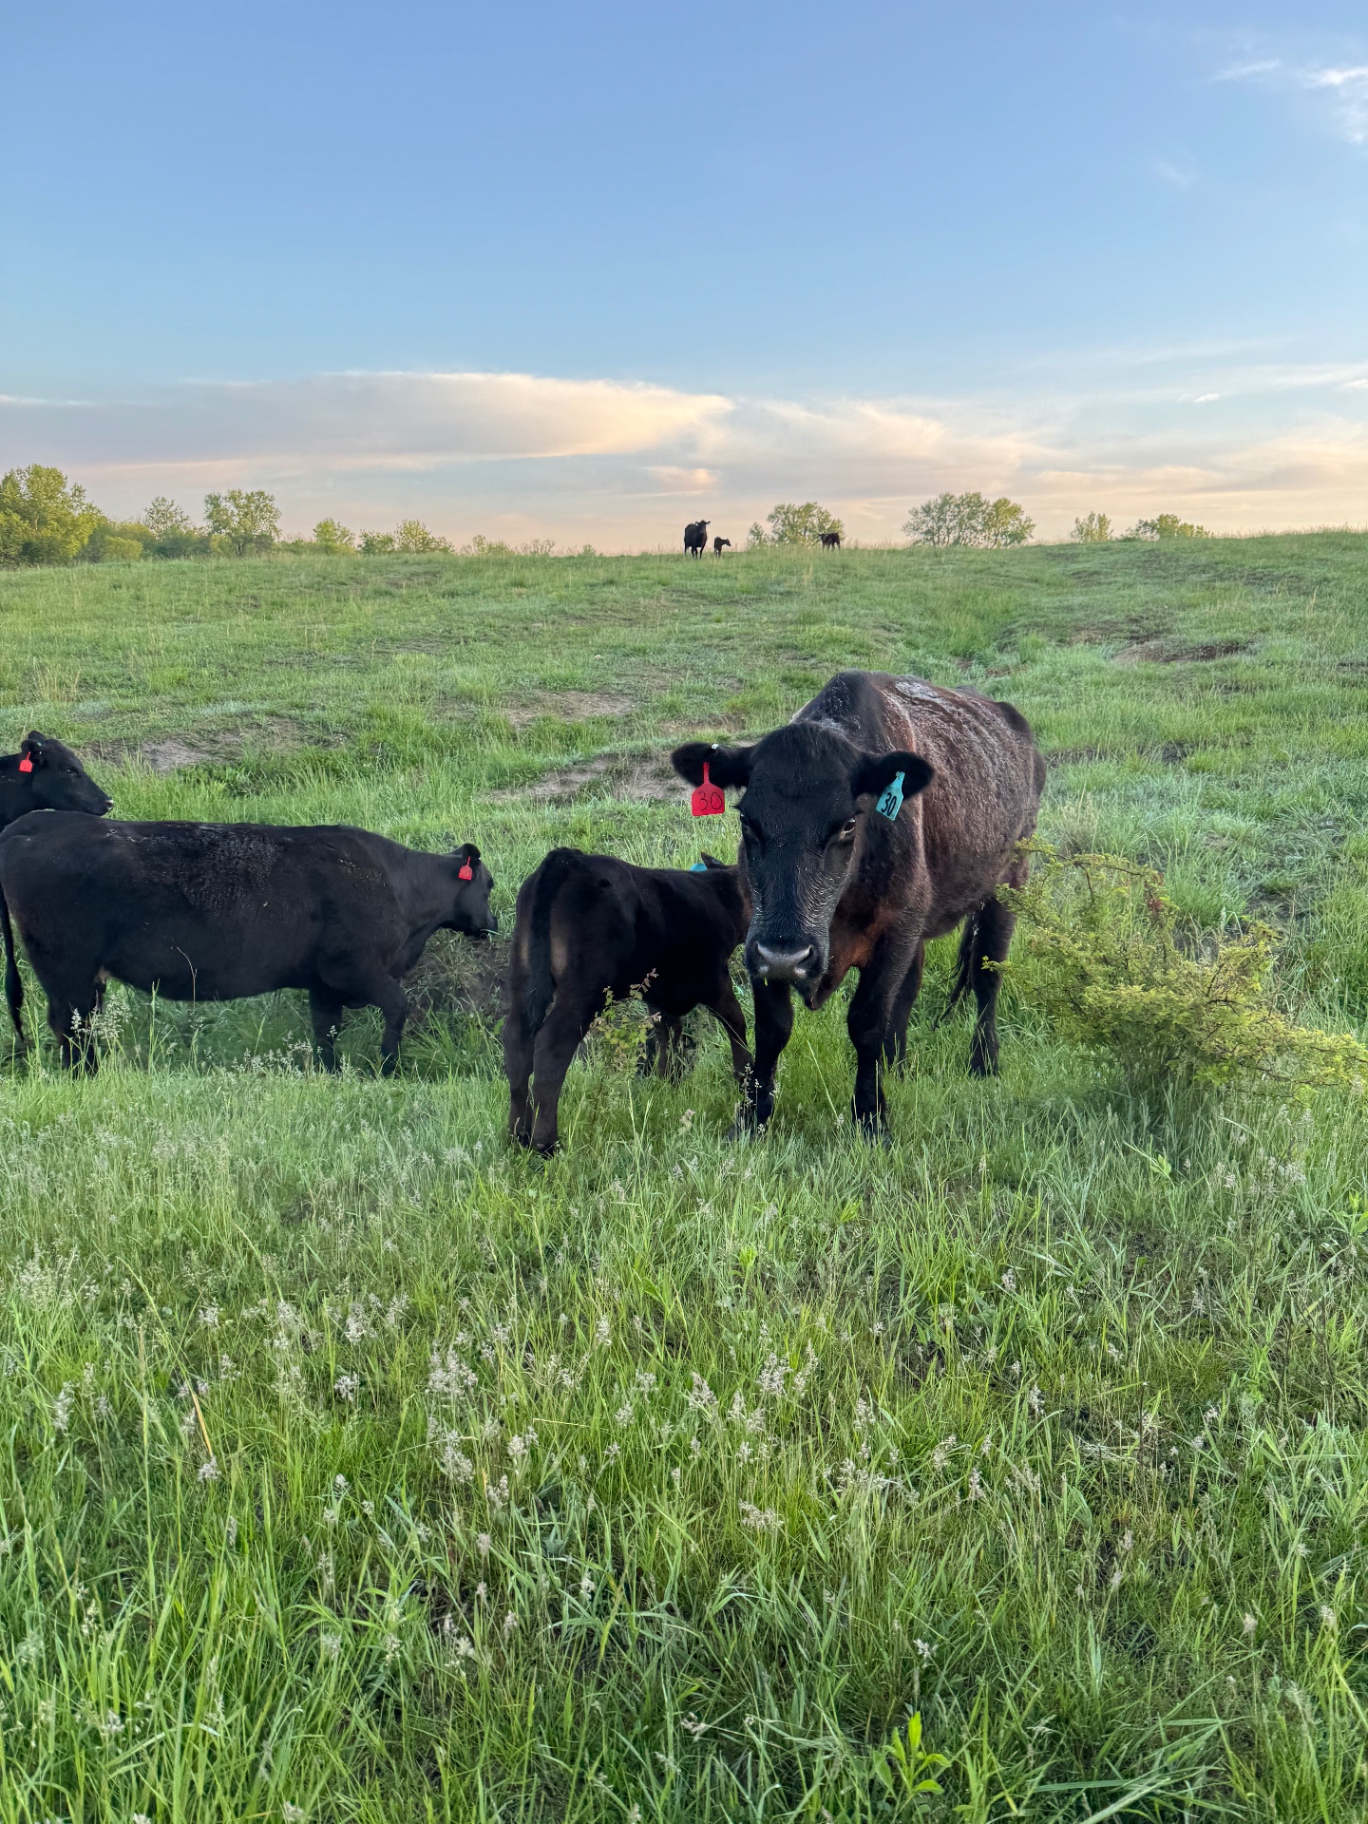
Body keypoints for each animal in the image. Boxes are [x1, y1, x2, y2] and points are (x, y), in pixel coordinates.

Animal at [0, 817, 496, 1073]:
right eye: (488, 886)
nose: (492, 924)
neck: (400, 887)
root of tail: (37, 822)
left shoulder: (324, 984)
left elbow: (326, 1033)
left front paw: (331, 1073)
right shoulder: (355, 969)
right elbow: (398, 1008)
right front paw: (390, 1068)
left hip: (88, 976)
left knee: (81, 1026)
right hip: (67, 967)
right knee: (70, 1026)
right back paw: (84, 1076)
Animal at [504, 848, 749, 1154]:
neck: (721, 895)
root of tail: (569, 859)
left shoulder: (659, 993)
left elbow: (667, 1032)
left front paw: (666, 1083)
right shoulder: (714, 978)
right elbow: (736, 1023)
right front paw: (746, 1079)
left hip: (523, 975)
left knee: (517, 1042)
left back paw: (517, 1135)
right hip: (585, 986)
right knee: (551, 1046)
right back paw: (545, 1143)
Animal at [671, 670, 1045, 1138]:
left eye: (849, 823)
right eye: (745, 820)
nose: (787, 954)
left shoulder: (893, 933)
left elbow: (866, 1022)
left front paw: (871, 1117)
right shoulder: (762, 943)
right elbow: (773, 1028)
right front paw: (752, 1118)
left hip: (1008, 884)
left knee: (986, 976)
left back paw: (984, 1062)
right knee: (912, 988)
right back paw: (898, 1065)